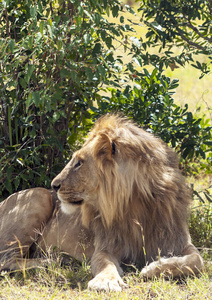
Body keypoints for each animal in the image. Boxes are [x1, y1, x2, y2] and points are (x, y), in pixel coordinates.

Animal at [0, 114, 205, 290]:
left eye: (79, 163)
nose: (54, 185)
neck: (135, 204)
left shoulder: (178, 240)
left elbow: (197, 261)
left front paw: (154, 268)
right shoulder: (105, 246)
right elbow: (105, 264)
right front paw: (106, 282)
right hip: (38, 197)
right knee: (6, 259)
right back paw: (53, 261)